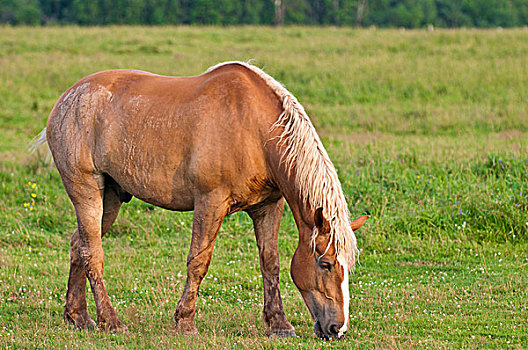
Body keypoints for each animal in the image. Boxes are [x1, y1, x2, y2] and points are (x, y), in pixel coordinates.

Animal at [32, 61, 368, 340]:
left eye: (347, 267)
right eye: (325, 264)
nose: (337, 329)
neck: (254, 128)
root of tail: (68, 97)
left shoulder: (268, 206)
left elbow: (269, 263)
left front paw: (279, 325)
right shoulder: (210, 202)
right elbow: (198, 262)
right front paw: (185, 321)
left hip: (111, 198)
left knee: (79, 244)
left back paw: (78, 317)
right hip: (86, 190)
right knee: (93, 253)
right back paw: (110, 322)